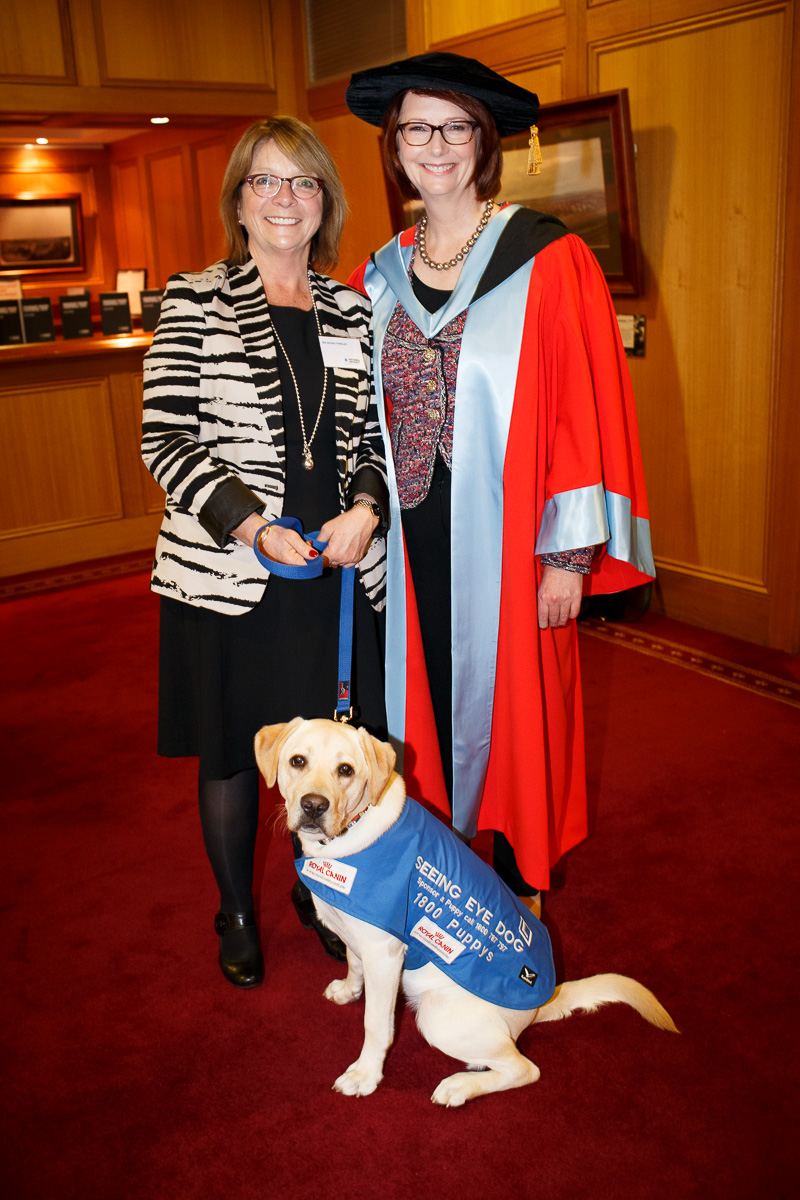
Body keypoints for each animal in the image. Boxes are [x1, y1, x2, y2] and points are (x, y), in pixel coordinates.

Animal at [255, 710, 676, 1104]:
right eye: (297, 761)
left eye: (346, 770)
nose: (313, 807)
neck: (349, 835)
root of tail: (543, 1003)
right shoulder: (356, 938)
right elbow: (352, 965)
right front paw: (347, 991)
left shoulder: (384, 954)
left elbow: (375, 1024)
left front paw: (365, 1075)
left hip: (437, 1012)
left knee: (525, 1069)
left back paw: (458, 1087)